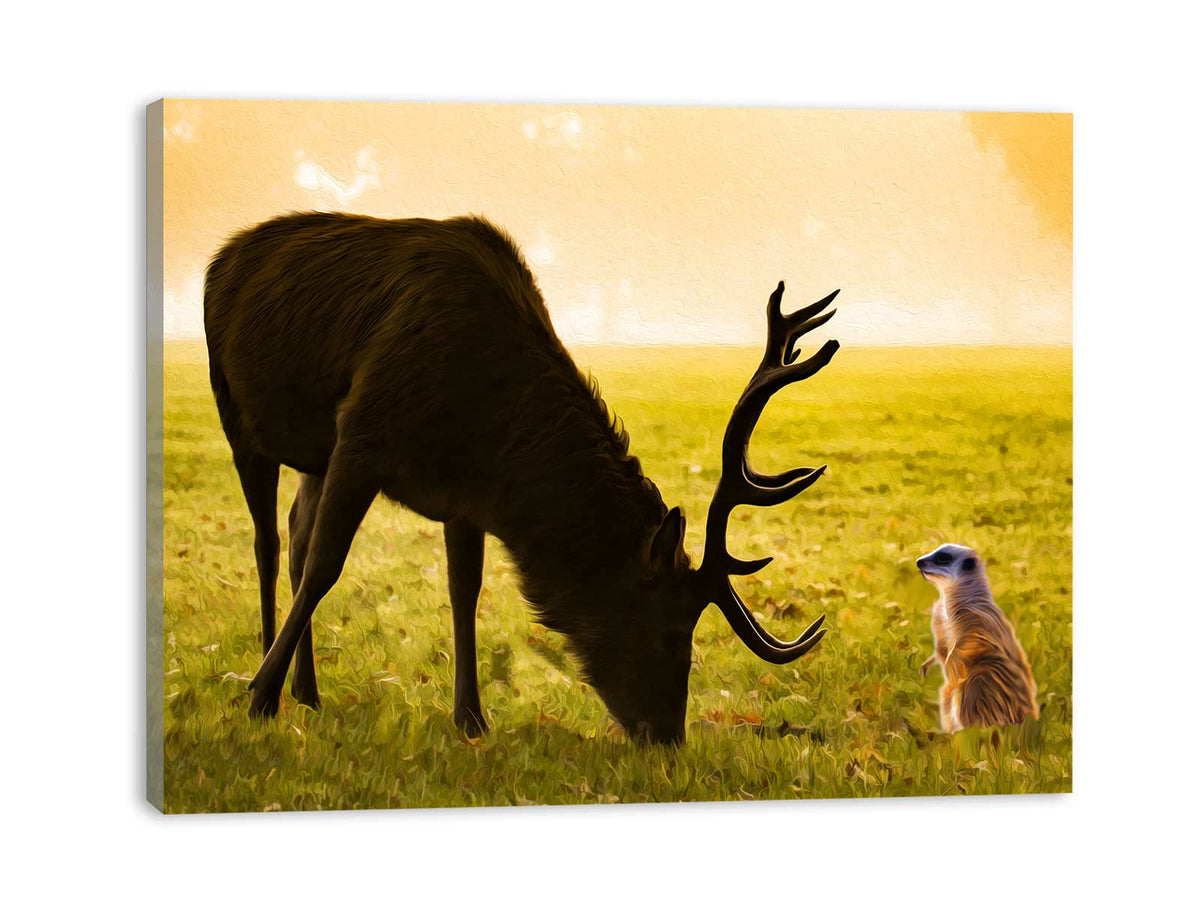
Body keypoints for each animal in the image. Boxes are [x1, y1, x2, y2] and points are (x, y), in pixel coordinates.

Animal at [203, 212, 841, 746]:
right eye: (670, 630)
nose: (667, 737)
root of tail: (223, 254)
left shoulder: (462, 494)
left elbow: (464, 591)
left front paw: (471, 719)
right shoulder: (362, 432)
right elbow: (326, 566)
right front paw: (259, 698)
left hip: (313, 455)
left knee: (295, 529)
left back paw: (308, 691)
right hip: (236, 412)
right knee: (270, 542)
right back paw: (265, 676)